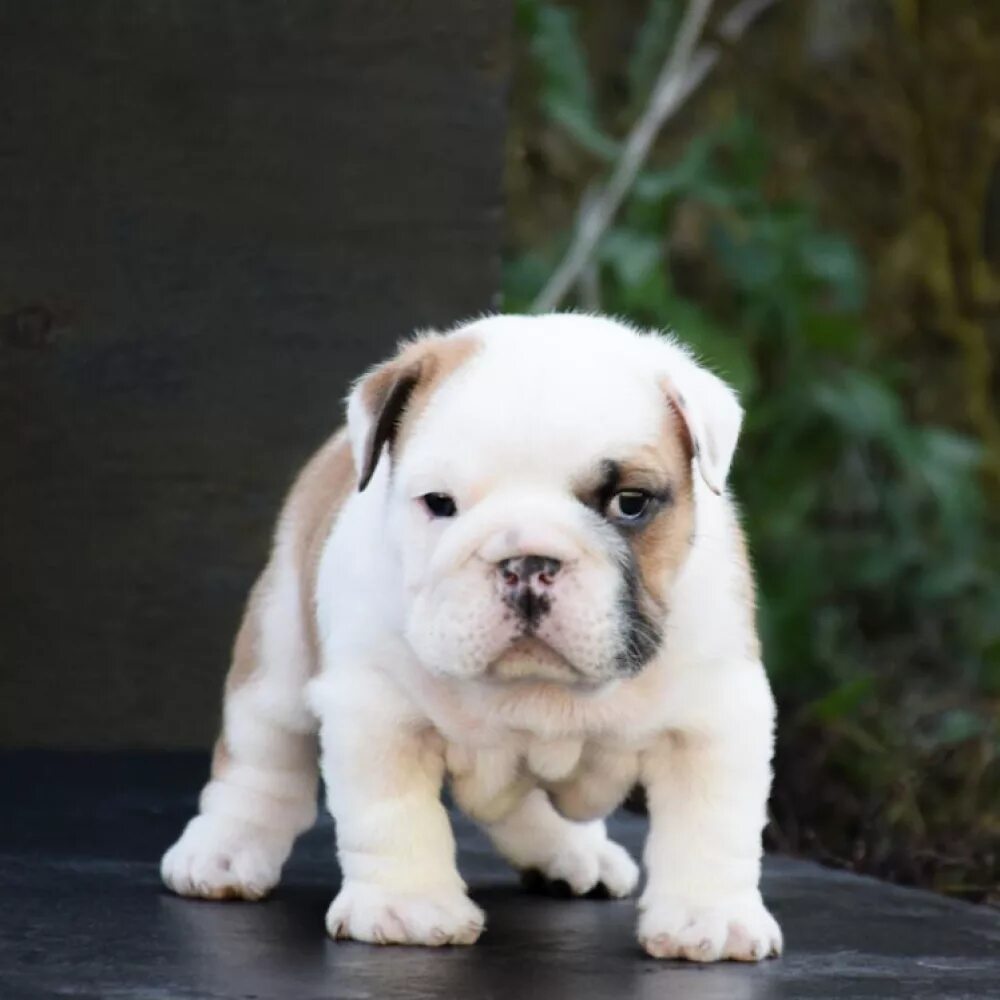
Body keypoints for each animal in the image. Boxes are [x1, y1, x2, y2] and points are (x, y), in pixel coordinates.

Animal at [162, 312, 780, 960]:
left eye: (630, 503)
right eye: (440, 503)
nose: (527, 560)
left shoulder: (713, 717)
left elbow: (712, 823)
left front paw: (710, 917)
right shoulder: (378, 712)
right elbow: (393, 813)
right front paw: (407, 907)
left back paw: (571, 853)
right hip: (278, 650)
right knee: (263, 758)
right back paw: (224, 850)